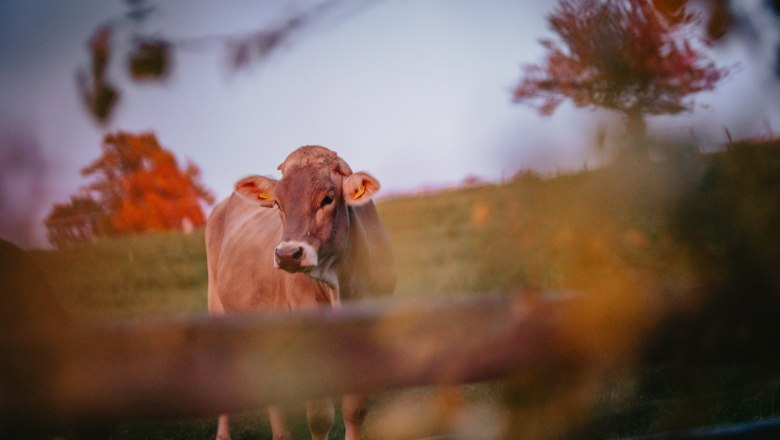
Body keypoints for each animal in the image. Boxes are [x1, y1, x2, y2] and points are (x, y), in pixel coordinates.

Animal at [206, 146, 396, 438]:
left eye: (327, 199)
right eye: (277, 203)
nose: (287, 254)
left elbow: (355, 409)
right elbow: (320, 416)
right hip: (217, 307)